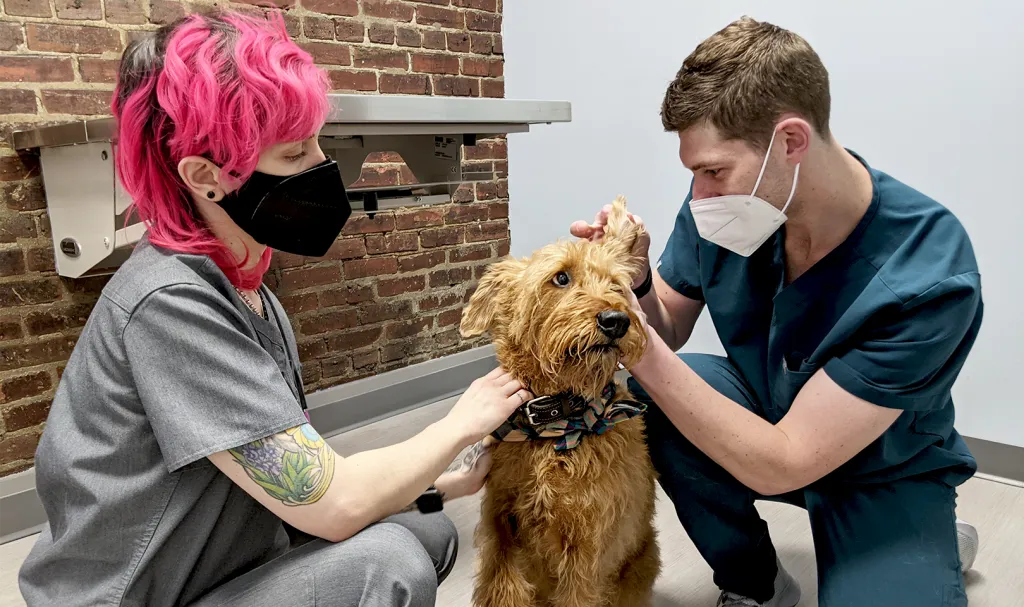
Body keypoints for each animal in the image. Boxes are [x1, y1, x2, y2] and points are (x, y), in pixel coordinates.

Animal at [460, 197, 659, 605]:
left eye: (617, 285)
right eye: (562, 278)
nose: (616, 320)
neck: (555, 425)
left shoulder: (587, 553)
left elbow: (578, 594)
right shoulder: (500, 523)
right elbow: (500, 587)